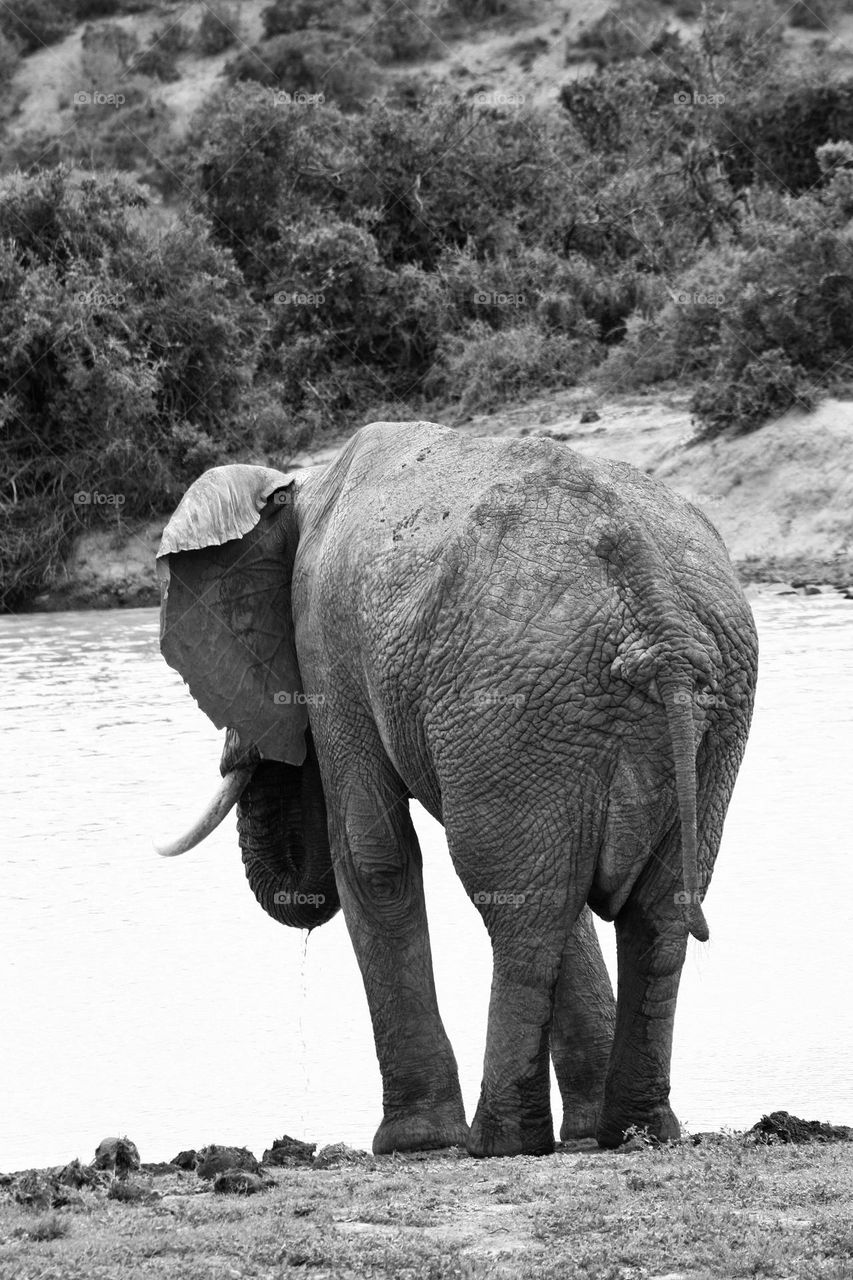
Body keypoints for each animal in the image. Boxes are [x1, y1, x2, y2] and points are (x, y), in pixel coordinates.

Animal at [156, 419, 753, 1162]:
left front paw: (412, 1142)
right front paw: (582, 1131)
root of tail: (660, 625)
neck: (300, 488)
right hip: (679, 712)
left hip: (520, 700)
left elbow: (374, 855)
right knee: (645, 910)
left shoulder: (326, 643)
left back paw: (499, 1142)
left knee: (519, 907)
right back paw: (634, 1132)